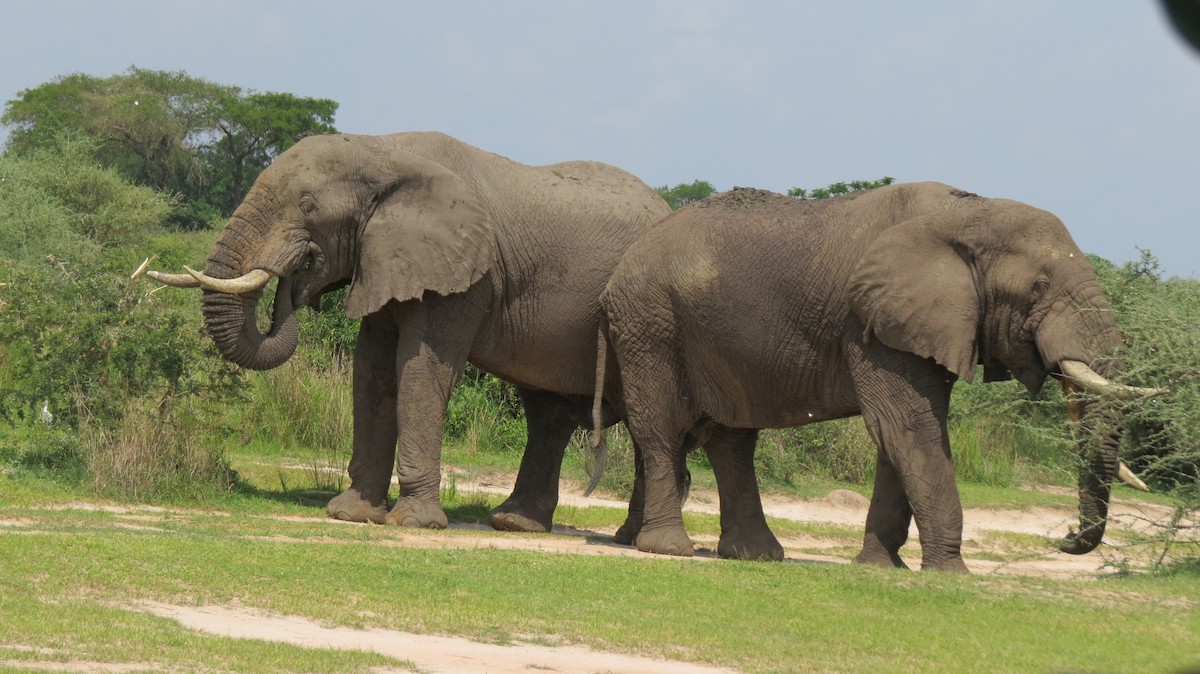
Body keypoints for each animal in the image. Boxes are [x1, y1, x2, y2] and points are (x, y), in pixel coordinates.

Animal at [149, 131, 671, 532]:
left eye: (308, 205)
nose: (296, 275)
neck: (382, 150)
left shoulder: (468, 275)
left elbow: (420, 370)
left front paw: (412, 522)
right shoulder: (385, 259)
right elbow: (372, 370)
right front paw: (352, 514)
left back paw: (629, 537)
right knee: (548, 414)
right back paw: (515, 523)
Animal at [594, 182, 1161, 571]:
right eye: (1039, 287)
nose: (1063, 539)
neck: (967, 212)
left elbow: (900, 436)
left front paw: (881, 567)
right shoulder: (872, 324)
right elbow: (909, 428)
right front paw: (951, 573)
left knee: (734, 441)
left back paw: (756, 556)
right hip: (650, 324)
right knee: (661, 431)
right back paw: (670, 549)